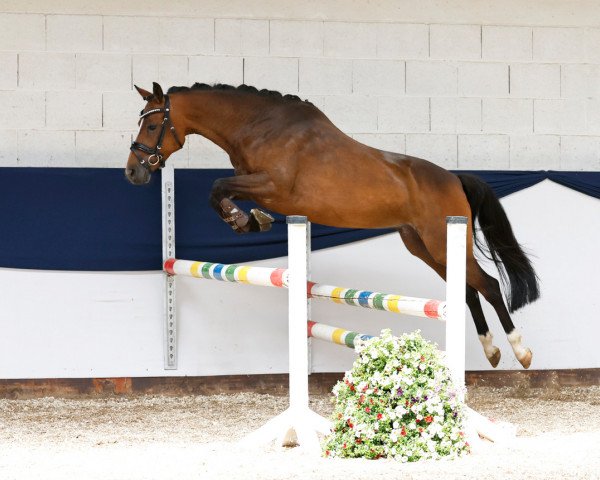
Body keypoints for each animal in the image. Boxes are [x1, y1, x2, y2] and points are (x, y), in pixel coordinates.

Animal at [125, 81, 540, 368]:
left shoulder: (272, 186)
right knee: (468, 291)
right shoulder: (258, 185)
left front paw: (244, 220)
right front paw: (250, 221)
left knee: (487, 285)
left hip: (441, 239)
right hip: (421, 246)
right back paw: (491, 351)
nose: (133, 172)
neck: (260, 126)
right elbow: (221, 191)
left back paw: (519, 352)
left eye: (152, 126)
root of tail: (454, 179)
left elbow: (217, 187)